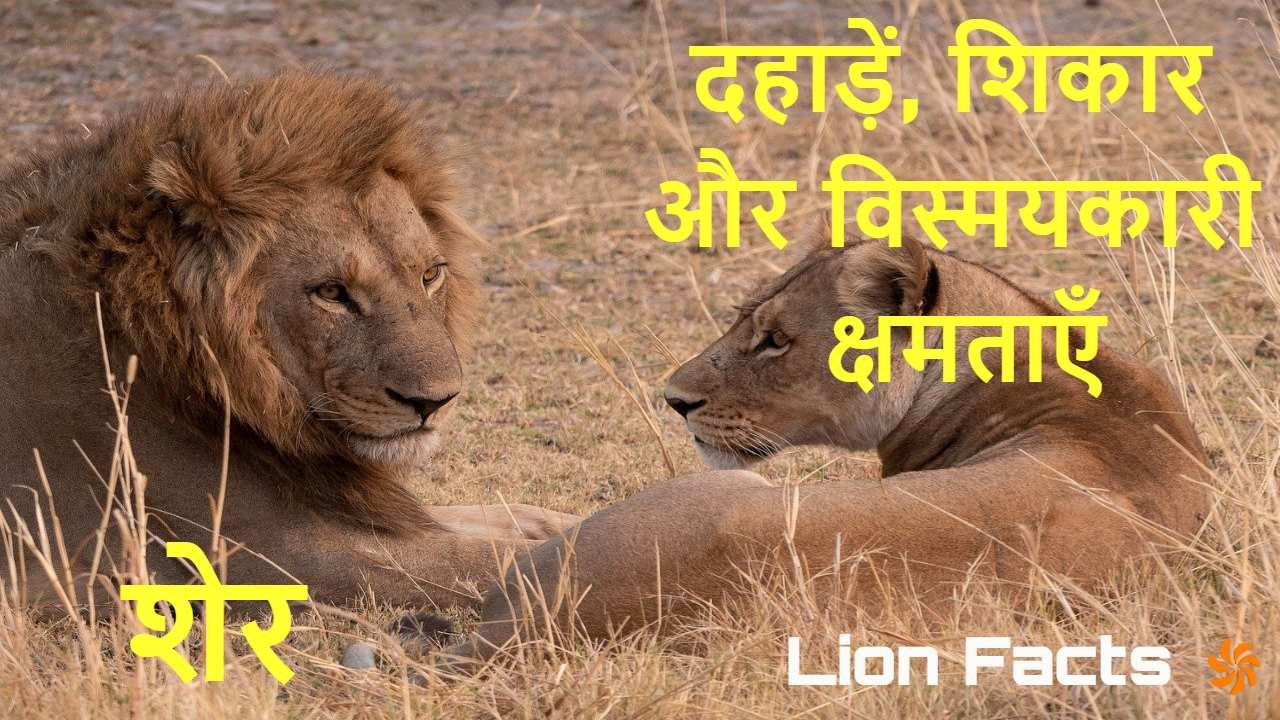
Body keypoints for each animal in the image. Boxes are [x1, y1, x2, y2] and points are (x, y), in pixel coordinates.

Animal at [0, 71, 577, 615]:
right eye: (331, 292)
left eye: (431, 275)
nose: (435, 402)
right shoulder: (270, 557)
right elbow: (491, 559)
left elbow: (480, 519)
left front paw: (559, 519)